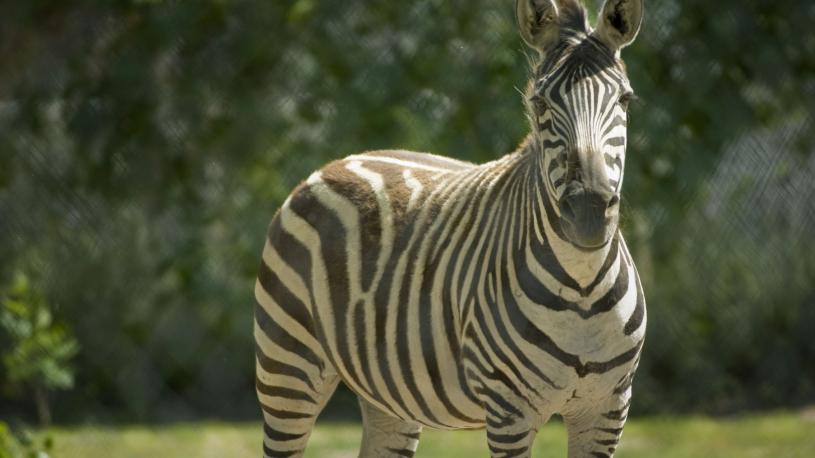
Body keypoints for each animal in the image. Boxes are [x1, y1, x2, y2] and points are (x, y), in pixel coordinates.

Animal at [252, 0, 648, 456]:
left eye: (625, 100)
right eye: (540, 103)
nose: (588, 212)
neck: (583, 288)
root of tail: (338, 162)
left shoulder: (608, 409)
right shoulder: (509, 411)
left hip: (387, 394)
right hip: (287, 367)